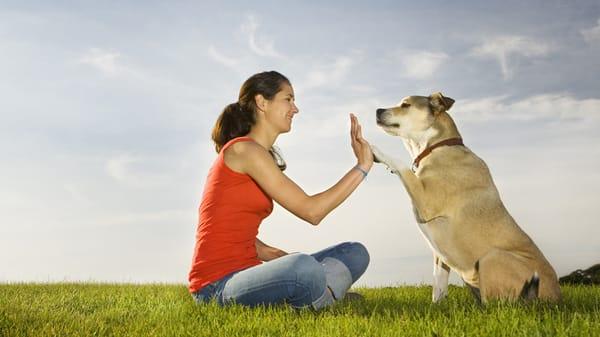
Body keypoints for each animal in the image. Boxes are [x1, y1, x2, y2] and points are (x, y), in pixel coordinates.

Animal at [370, 93, 564, 304]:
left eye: (406, 105)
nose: (377, 110)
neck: (437, 146)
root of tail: (554, 298)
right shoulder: (439, 255)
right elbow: (438, 283)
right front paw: (437, 306)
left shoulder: (426, 201)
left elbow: (400, 164)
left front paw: (374, 149)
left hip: (492, 257)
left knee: (498, 304)